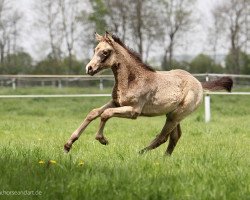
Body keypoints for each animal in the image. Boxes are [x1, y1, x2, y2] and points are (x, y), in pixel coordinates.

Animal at [63, 32, 233, 155]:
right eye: (95, 50)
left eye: (105, 52)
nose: (89, 68)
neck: (132, 80)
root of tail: (199, 83)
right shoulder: (116, 102)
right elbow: (94, 113)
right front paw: (67, 145)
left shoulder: (134, 111)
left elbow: (106, 114)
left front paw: (102, 139)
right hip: (173, 115)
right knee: (174, 137)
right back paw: (165, 158)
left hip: (175, 116)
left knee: (163, 137)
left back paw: (140, 153)